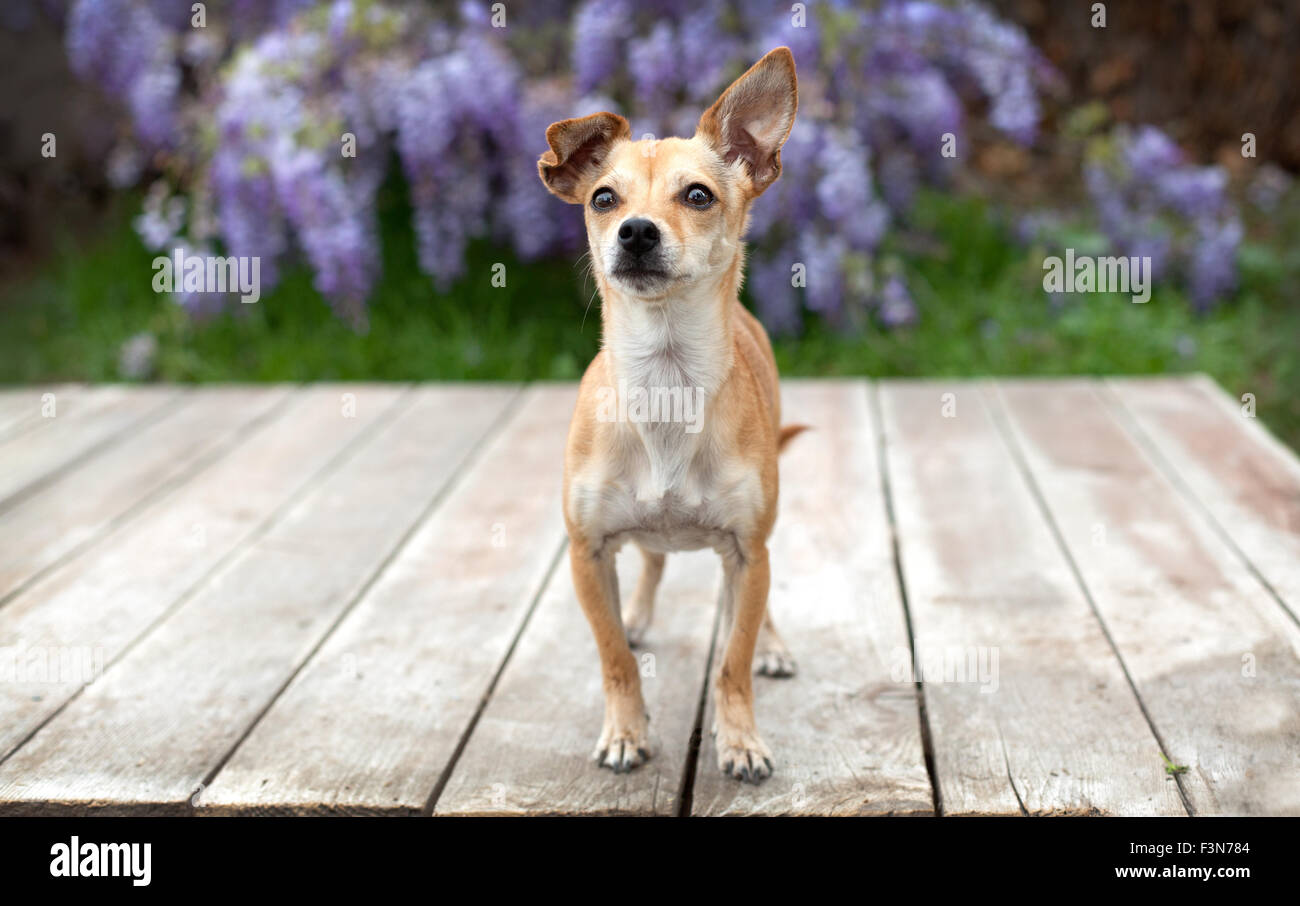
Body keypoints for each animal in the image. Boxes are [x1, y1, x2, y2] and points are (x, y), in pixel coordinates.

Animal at [535, 51, 800, 785]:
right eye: (604, 199)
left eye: (698, 196)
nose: (636, 231)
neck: (666, 380)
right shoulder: (588, 552)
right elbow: (615, 660)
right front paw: (626, 732)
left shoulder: (748, 553)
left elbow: (733, 660)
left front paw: (740, 741)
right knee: (652, 559)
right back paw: (639, 612)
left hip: (761, 542)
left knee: (750, 611)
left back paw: (773, 643)